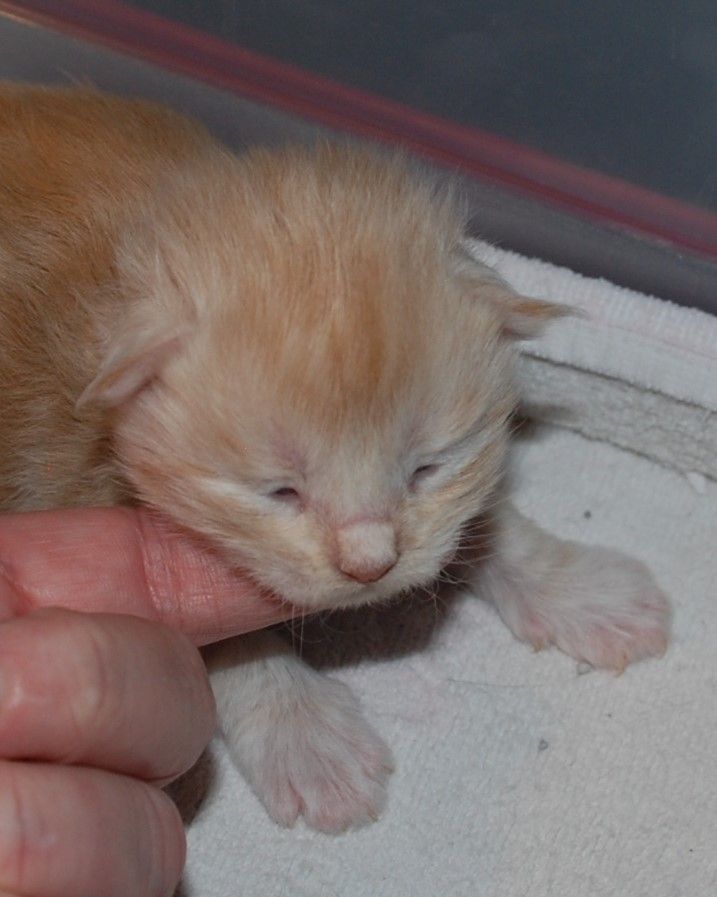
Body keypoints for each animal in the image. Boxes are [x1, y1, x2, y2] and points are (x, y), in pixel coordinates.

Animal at [0, 84, 670, 832]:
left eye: (428, 466)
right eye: (279, 491)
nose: (371, 566)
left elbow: (484, 523)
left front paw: (578, 588)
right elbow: (226, 640)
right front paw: (303, 732)